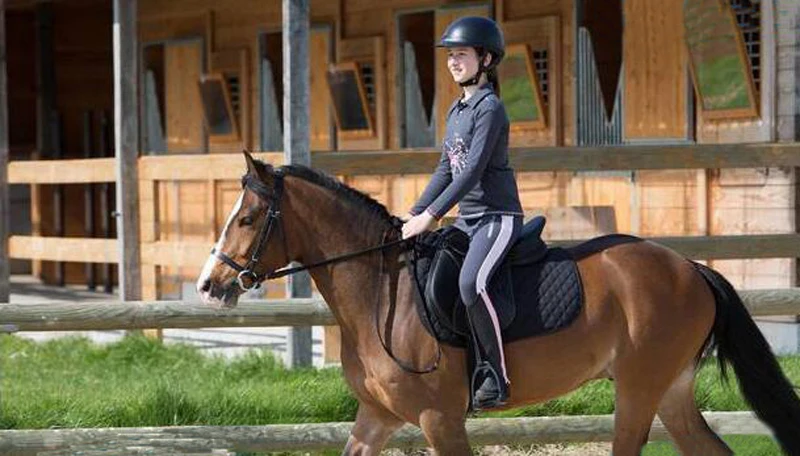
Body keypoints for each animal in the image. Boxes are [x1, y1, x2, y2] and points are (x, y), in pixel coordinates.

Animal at [196, 152, 800, 456]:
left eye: (246, 219)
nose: (209, 285)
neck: (379, 292)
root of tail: (692, 269)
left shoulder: (439, 419)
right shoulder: (376, 417)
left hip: (638, 390)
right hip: (670, 392)